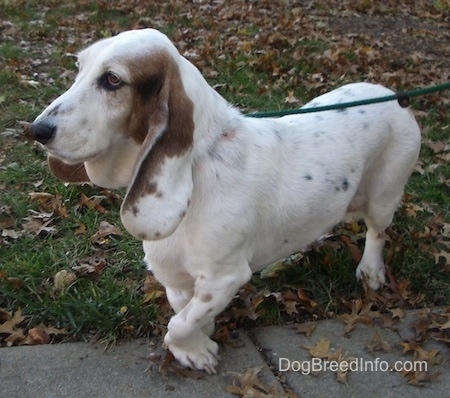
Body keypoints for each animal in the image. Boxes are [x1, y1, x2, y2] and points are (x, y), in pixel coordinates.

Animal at [29, 28, 420, 374]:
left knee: (377, 233)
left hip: (383, 196)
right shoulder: (178, 282)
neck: (198, 167)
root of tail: (393, 95)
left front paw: (195, 351)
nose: (37, 130)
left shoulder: (224, 278)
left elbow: (178, 326)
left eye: (112, 80)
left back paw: (371, 271)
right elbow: (186, 315)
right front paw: (199, 342)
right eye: (79, 68)